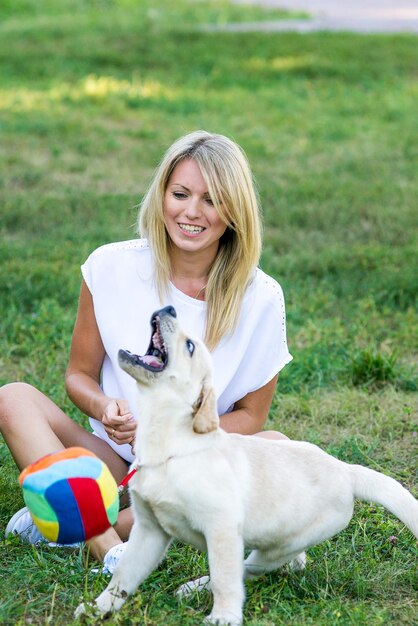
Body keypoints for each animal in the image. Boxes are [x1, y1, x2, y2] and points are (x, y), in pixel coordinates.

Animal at [76, 304, 416, 620]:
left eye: (190, 346)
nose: (169, 307)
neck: (167, 446)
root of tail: (345, 469)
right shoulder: (149, 530)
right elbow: (123, 575)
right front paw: (98, 608)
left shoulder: (221, 526)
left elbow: (225, 579)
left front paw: (223, 617)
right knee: (285, 563)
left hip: (278, 545)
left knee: (245, 569)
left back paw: (196, 588)